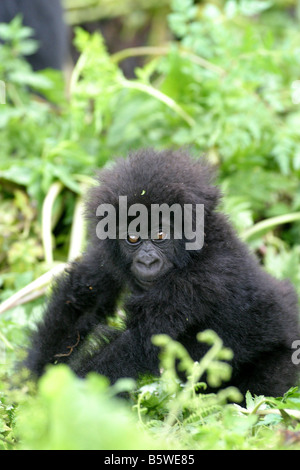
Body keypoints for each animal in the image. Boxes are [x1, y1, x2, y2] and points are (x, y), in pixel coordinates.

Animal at [24, 149, 300, 398]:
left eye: (159, 234)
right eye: (133, 237)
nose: (147, 260)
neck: (195, 250)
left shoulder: (201, 277)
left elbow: (137, 342)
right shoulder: (106, 253)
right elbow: (83, 298)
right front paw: (31, 382)